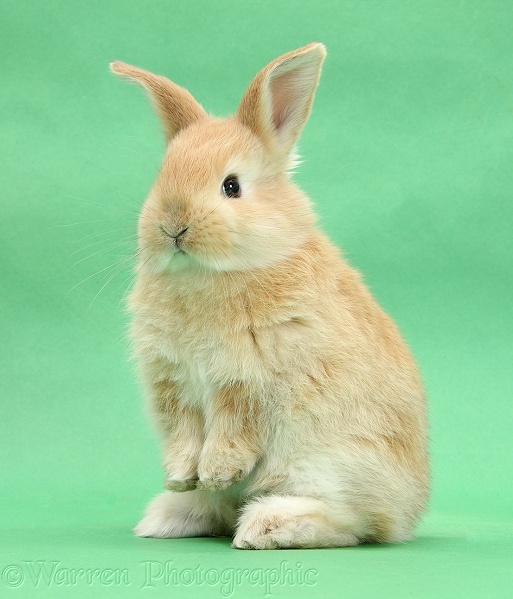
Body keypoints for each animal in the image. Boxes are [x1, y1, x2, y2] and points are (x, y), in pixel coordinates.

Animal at [111, 41, 428, 548]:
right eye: (161, 177)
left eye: (232, 186)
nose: (173, 226)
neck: (211, 274)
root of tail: (409, 511)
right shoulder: (175, 385)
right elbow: (184, 434)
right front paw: (180, 476)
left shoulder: (248, 380)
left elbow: (231, 430)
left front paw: (216, 471)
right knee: (221, 509)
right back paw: (167, 516)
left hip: (329, 465)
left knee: (354, 525)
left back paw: (265, 526)